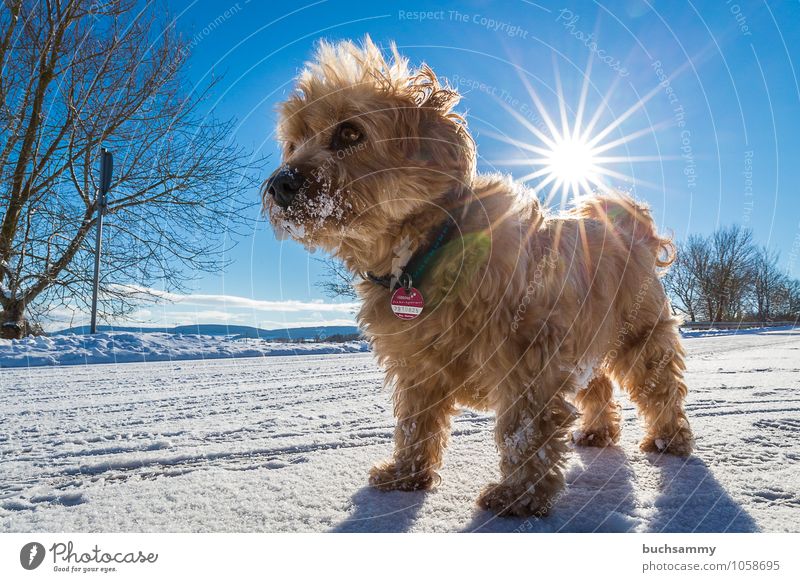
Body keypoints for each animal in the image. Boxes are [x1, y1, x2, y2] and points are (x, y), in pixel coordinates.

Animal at [264, 38, 692, 516]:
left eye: (351, 133)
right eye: (293, 143)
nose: (280, 184)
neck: (424, 252)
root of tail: (630, 225)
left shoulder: (529, 361)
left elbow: (525, 432)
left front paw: (519, 495)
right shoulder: (417, 367)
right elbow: (415, 424)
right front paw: (406, 475)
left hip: (640, 336)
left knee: (661, 388)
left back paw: (669, 440)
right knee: (597, 387)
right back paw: (600, 432)